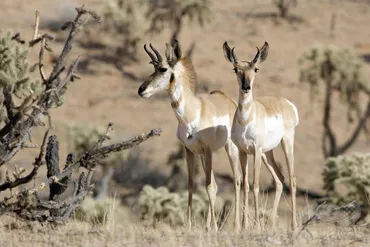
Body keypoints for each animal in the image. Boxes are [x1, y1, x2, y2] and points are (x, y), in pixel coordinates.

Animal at [137, 39, 241, 231]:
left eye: (163, 69)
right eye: (153, 66)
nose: (141, 90)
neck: (194, 110)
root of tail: (228, 100)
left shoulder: (207, 150)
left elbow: (208, 186)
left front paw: (215, 228)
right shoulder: (190, 151)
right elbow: (191, 185)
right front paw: (190, 225)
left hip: (230, 149)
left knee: (237, 181)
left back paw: (237, 226)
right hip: (204, 156)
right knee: (215, 184)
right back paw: (207, 226)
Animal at [221, 41, 300, 231]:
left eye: (255, 69)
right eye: (235, 69)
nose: (246, 87)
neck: (246, 119)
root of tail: (286, 103)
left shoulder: (255, 151)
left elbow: (256, 185)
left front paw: (254, 225)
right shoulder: (244, 152)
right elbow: (245, 186)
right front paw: (242, 226)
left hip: (285, 145)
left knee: (292, 179)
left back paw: (294, 226)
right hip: (267, 154)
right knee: (279, 179)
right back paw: (271, 224)